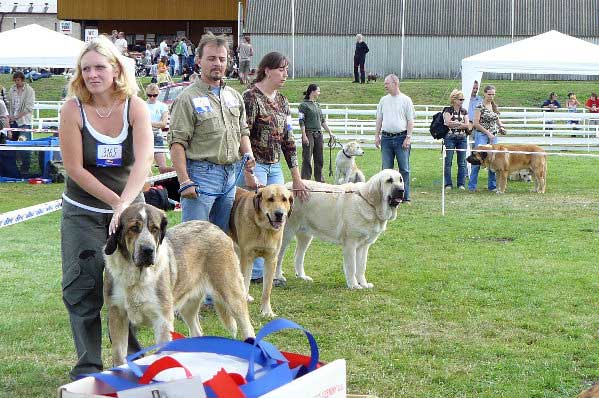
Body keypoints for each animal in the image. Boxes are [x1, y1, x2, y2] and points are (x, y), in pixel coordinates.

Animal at [104, 204, 254, 366]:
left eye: (155, 228)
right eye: (133, 228)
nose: (148, 250)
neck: (137, 277)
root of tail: (216, 228)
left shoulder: (163, 320)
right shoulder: (117, 315)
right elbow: (119, 355)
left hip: (232, 296)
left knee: (248, 327)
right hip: (188, 307)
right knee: (196, 331)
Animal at [229, 185, 294, 318]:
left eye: (284, 199)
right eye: (270, 199)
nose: (279, 214)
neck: (264, 229)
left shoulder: (271, 259)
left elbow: (267, 290)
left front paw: (267, 311)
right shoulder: (247, 257)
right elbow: (246, 282)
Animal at [276, 169, 406, 290]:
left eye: (400, 180)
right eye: (389, 180)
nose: (402, 190)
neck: (369, 203)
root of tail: (286, 188)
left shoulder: (364, 246)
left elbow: (361, 267)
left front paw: (363, 284)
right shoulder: (350, 244)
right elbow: (352, 267)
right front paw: (354, 285)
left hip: (305, 235)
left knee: (298, 255)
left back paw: (302, 276)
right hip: (286, 234)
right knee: (279, 257)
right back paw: (278, 277)